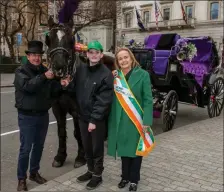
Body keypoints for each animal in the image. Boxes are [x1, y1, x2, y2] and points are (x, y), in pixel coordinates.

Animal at [44, 16, 114, 167]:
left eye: (71, 39)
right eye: (48, 39)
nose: (59, 68)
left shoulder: (77, 111)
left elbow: (78, 132)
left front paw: (81, 157)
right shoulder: (57, 109)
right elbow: (61, 132)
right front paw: (60, 156)